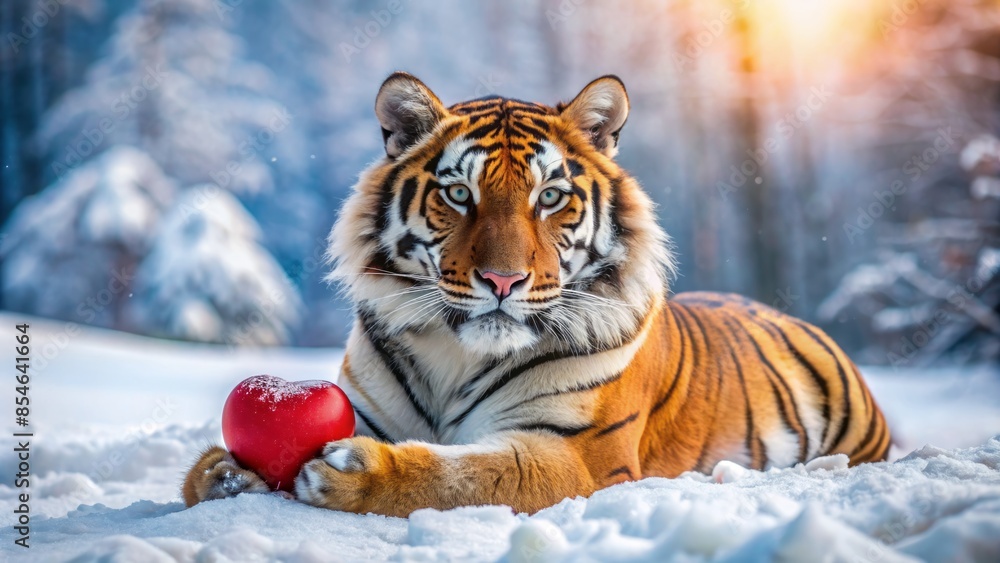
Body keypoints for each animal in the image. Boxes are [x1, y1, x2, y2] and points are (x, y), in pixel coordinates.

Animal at [182, 72, 890, 517]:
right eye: (457, 193)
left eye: (550, 196)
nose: (503, 281)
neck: (456, 357)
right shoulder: (368, 407)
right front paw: (223, 473)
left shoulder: (577, 455)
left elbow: (471, 473)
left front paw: (357, 473)